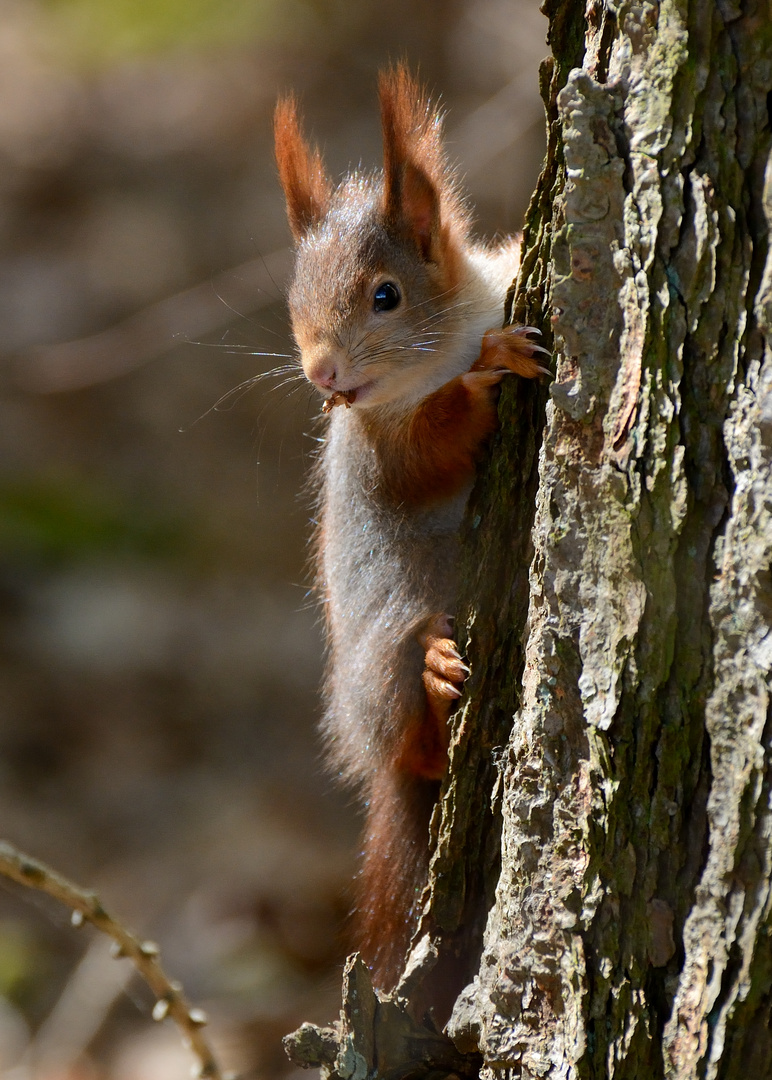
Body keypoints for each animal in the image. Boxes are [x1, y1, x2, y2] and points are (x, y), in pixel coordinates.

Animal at [275, 67, 546, 989]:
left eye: (385, 296)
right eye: (294, 304)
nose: (323, 375)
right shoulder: (379, 449)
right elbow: (429, 450)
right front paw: (489, 370)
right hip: (382, 655)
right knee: (415, 748)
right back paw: (430, 678)